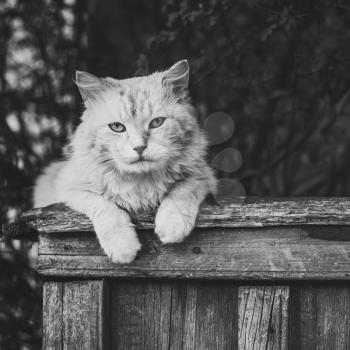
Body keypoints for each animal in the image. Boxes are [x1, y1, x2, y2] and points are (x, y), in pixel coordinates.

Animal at [34, 59, 217, 262]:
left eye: (157, 123)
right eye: (117, 127)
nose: (139, 148)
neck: (141, 182)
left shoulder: (203, 176)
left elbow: (182, 191)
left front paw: (172, 225)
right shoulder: (69, 188)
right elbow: (105, 206)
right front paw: (123, 247)